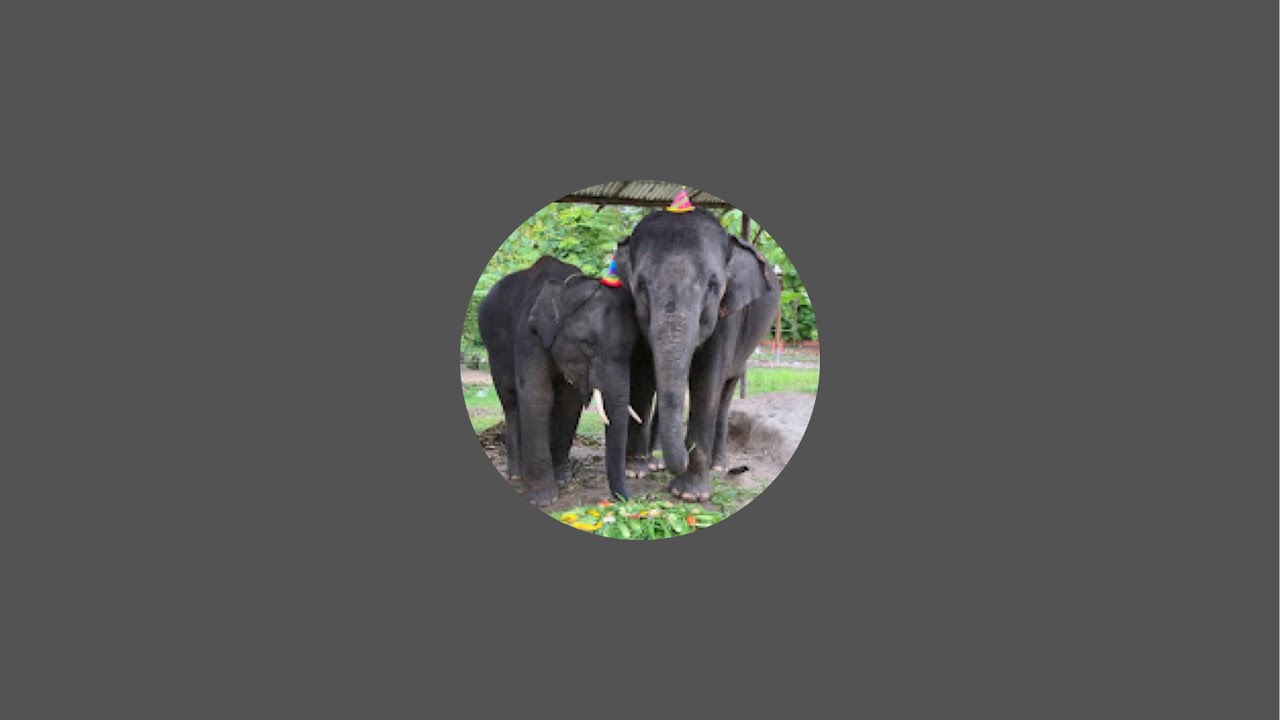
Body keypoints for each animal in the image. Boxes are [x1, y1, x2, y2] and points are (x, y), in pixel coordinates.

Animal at [477, 255, 641, 505]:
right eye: (589, 346)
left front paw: (562, 480)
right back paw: (515, 474)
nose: (628, 500)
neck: (567, 287)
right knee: (511, 401)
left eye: (632, 348)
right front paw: (544, 499)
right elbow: (537, 396)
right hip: (493, 348)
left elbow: (568, 402)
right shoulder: (528, 334)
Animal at [616, 208, 780, 502]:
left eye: (713, 285)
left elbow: (706, 383)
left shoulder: (727, 314)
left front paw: (690, 495)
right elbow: (644, 376)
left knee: (726, 391)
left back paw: (717, 466)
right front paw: (635, 471)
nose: (678, 461)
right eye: (641, 285)